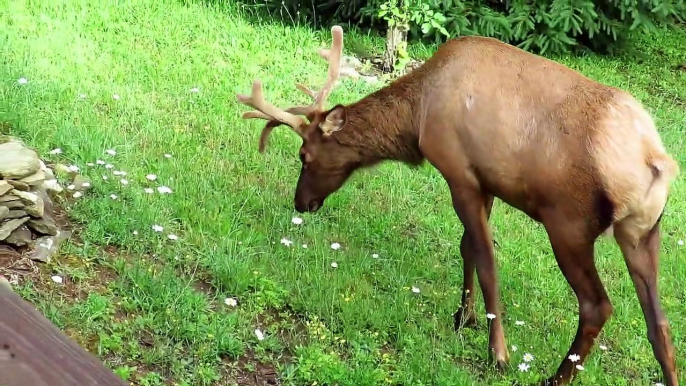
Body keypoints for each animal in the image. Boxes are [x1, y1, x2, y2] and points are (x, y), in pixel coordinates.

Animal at [236, 25, 684, 384]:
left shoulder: (458, 170)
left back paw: (556, 376)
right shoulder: (486, 182)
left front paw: (497, 353)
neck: (416, 119)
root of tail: (656, 161)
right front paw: (463, 317)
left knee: (597, 306)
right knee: (660, 324)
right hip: (643, 232)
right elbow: (467, 247)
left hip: (569, 223)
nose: (302, 202)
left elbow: (486, 261)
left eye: (305, 156)